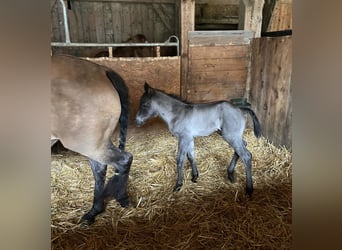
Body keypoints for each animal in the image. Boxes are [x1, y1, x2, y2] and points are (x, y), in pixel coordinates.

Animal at [51, 54, 133, 225]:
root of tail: (103, 71)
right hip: (94, 144)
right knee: (100, 170)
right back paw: (94, 211)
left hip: (88, 144)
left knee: (123, 160)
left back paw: (121, 198)